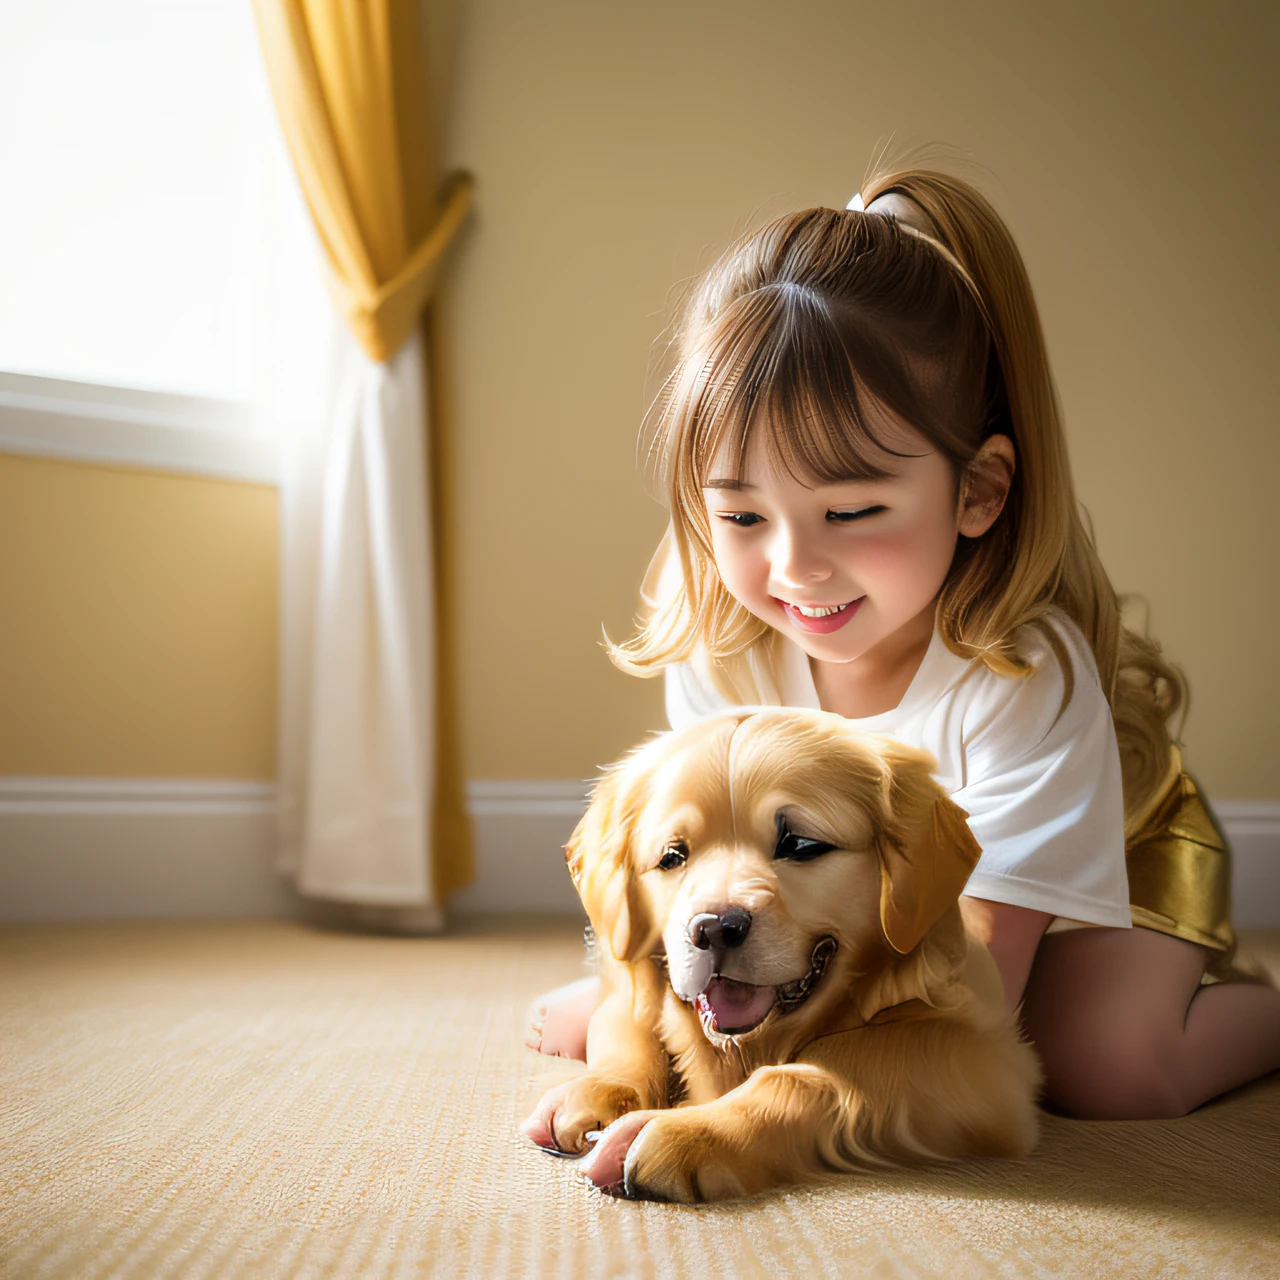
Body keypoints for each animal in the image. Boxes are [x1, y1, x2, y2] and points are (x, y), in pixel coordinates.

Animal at [524, 711, 1044, 1198]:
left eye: (801, 844)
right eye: (672, 857)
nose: (712, 929)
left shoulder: (989, 1061)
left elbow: (828, 1064)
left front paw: (688, 1131)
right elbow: (633, 1030)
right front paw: (596, 1091)